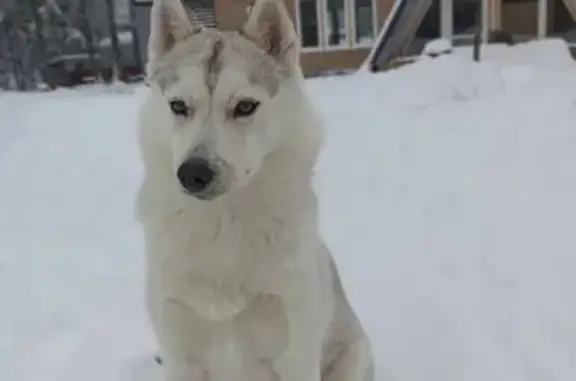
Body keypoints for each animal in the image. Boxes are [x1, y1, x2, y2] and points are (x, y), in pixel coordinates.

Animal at [136, 0, 374, 380]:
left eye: (245, 106)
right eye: (178, 106)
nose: (192, 173)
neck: (222, 226)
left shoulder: (296, 355)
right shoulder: (180, 355)